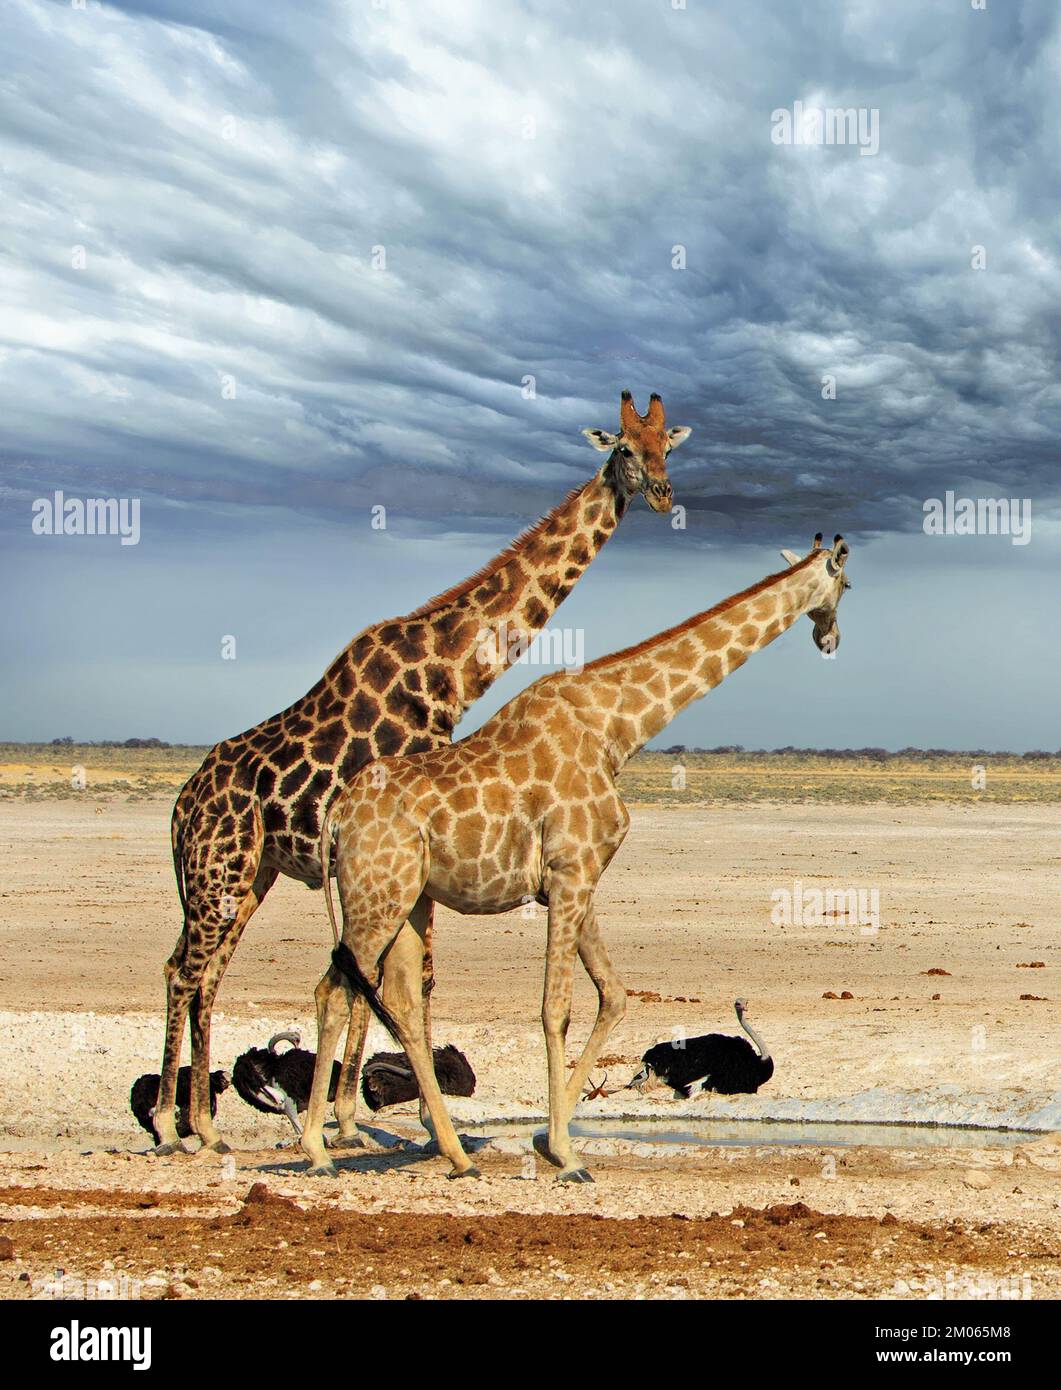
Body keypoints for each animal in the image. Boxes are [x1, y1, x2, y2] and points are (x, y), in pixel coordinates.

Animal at [300, 530, 856, 1184]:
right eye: (847, 585)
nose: (831, 638)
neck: (618, 728)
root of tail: (336, 815)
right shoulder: (571, 873)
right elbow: (555, 1009)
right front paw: (565, 1153)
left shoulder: (578, 879)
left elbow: (614, 996)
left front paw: (551, 1136)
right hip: (376, 895)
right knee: (333, 993)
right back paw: (317, 1151)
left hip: (409, 900)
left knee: (403, 1003)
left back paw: (457, 1154)